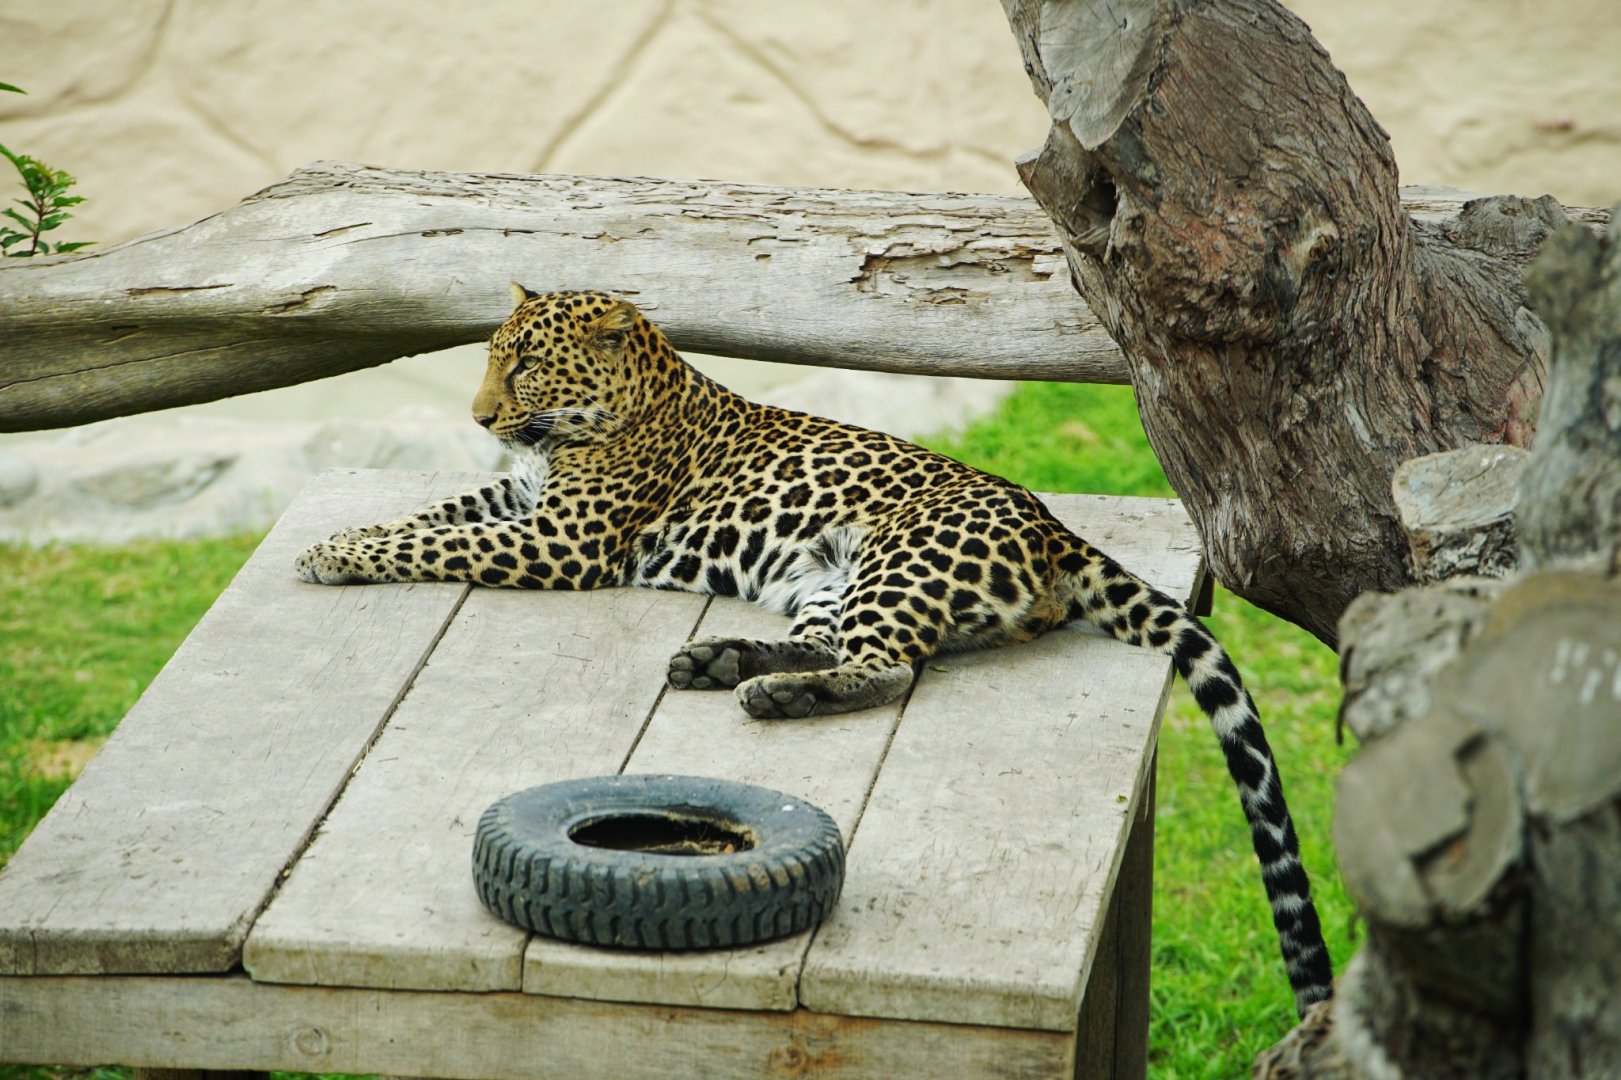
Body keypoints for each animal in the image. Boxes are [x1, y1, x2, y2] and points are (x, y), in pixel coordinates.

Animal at [295, 285, 1333, 1014]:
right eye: (491, 366)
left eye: (525, 371)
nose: (476, 418)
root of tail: (1054, 532)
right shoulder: (520, 504)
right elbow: (434, 515)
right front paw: (342, 532)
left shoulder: (562, 541)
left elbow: (434, 544)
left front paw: (330, 553)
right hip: (825, 577)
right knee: (835, 649)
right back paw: (720, 665)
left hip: (897, 560)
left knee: (889, 669)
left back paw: (764, 695)